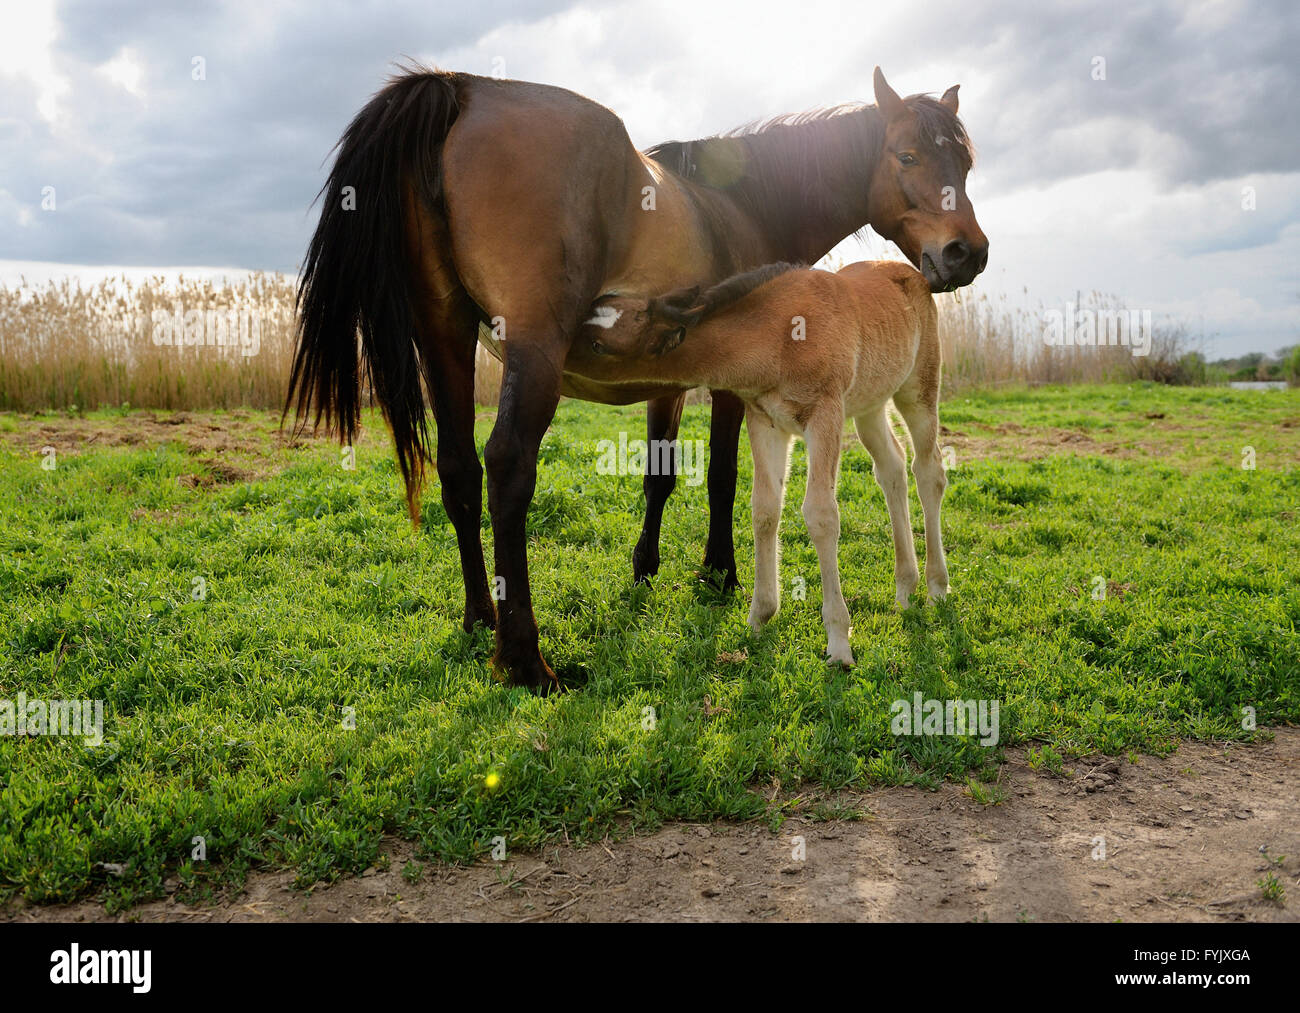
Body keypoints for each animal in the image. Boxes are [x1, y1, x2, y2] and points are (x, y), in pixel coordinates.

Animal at [570, 259, 947, 666]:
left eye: (598, 345)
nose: (559, 353)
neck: (781, 340)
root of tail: (913, 274)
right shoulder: (764, 420)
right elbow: (765, 510)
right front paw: (759, 618)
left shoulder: (825, 414)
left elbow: (821, 515)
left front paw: (838, 642)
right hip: (869, 405)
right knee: (892, 467)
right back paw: (905, 589)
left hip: (919, 388)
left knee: (929, 471)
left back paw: (936, 588)